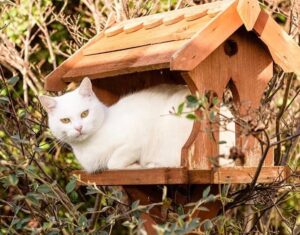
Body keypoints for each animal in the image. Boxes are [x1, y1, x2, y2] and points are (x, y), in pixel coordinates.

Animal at [39, 78, 193, 172]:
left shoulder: (137, 138)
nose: (78, 128)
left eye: (84, 113)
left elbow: (113, 163)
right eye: (65, 120)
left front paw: (136, 166)